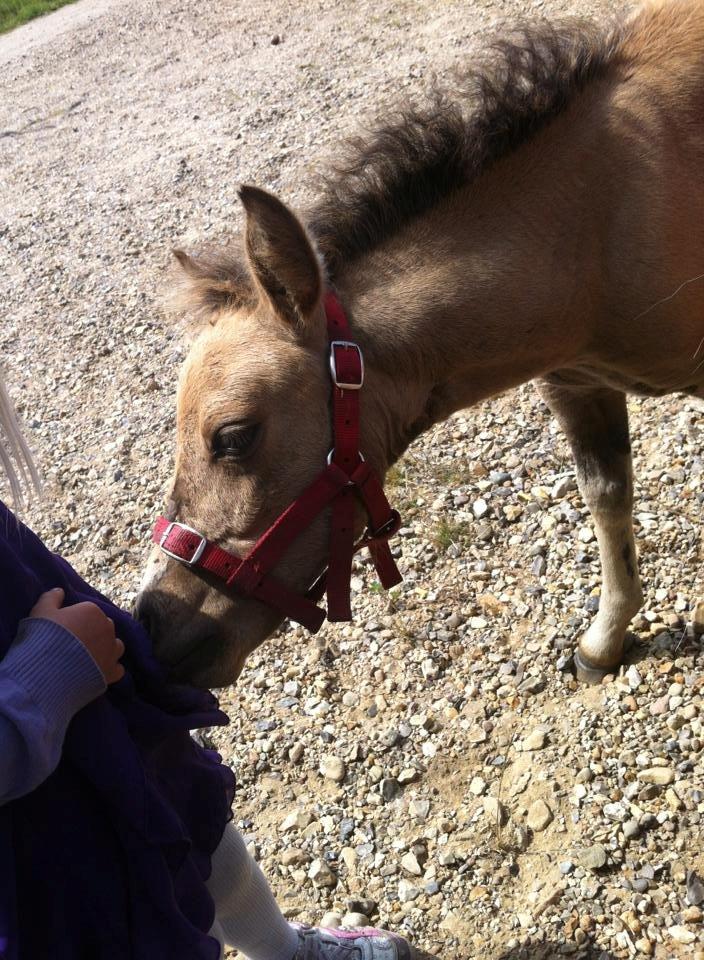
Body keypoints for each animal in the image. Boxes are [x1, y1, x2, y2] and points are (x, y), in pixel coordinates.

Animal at [136, 0, 704, 690]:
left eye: (235, 436)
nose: (153, 623)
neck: (599, 218)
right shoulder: (576, 384)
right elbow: (607, 500)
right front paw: (605, 640)